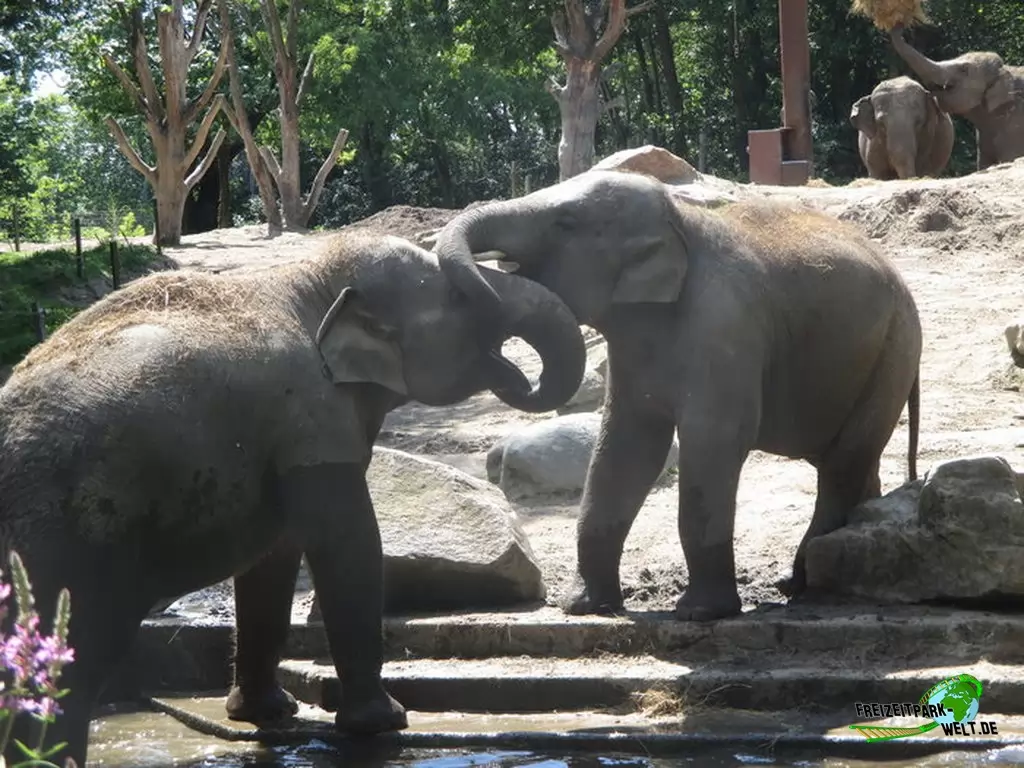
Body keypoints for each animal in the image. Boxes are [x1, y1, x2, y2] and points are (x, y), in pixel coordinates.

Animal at [0, 231, 586, 766]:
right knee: (71, 660)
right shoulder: (312, 417)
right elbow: (347, 544)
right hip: (68, 540)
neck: (310, 278)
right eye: (463, 301)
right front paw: (384, 722)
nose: (514, 375)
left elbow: (274, 557)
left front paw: (268, 713)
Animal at [433, 170, 922, 623]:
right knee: (852, 461)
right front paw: (586, 607)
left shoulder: (724, 327)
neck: (681, 219)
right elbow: (628, 445)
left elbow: (712, 441)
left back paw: (804, 585)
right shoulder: (631, 344)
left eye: (565, 223)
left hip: (896, 349)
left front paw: (700, 613)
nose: (503, 365)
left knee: (843, 461)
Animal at [891, 24, 1024, 170]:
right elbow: (984, 163)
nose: (899, 27)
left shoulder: (1015, 124)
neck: (1005, 69)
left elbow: (1011, 156)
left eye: (964, 69)